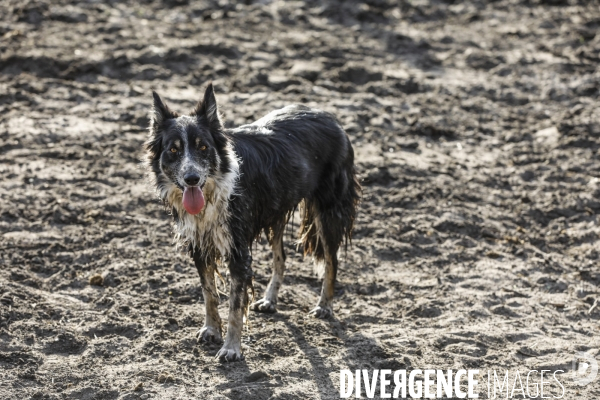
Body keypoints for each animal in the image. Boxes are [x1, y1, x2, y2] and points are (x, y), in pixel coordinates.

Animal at [144, 83, 360, 360]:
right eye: (173, 149)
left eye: (203, 147)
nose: (192, 178)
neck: (215, 189)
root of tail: (330, 117)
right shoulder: (200, 246)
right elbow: (209, 293)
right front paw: (211, 330)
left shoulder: (238, 251)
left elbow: (235, 305)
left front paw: (231, 348)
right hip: (276, 211)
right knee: (281, 258)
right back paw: (270, 301)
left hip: (327, 210)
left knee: (332, 260)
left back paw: (324, 306)